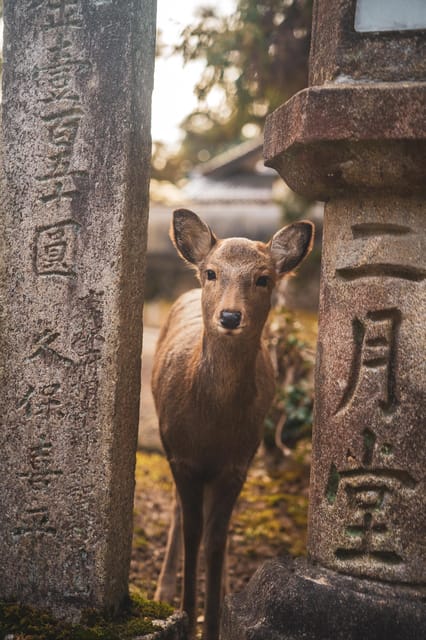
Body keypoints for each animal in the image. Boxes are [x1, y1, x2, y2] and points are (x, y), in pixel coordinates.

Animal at [151, 210, 314, 640]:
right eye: (211, 272)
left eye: (263, 278)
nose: (229, 316)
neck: (213, 426)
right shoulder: (181, 456)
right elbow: (194, 533)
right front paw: (185, 613)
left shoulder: (238, 463)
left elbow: (216, 540)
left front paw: (213, 621)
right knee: (179, 514)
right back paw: (163, 589)